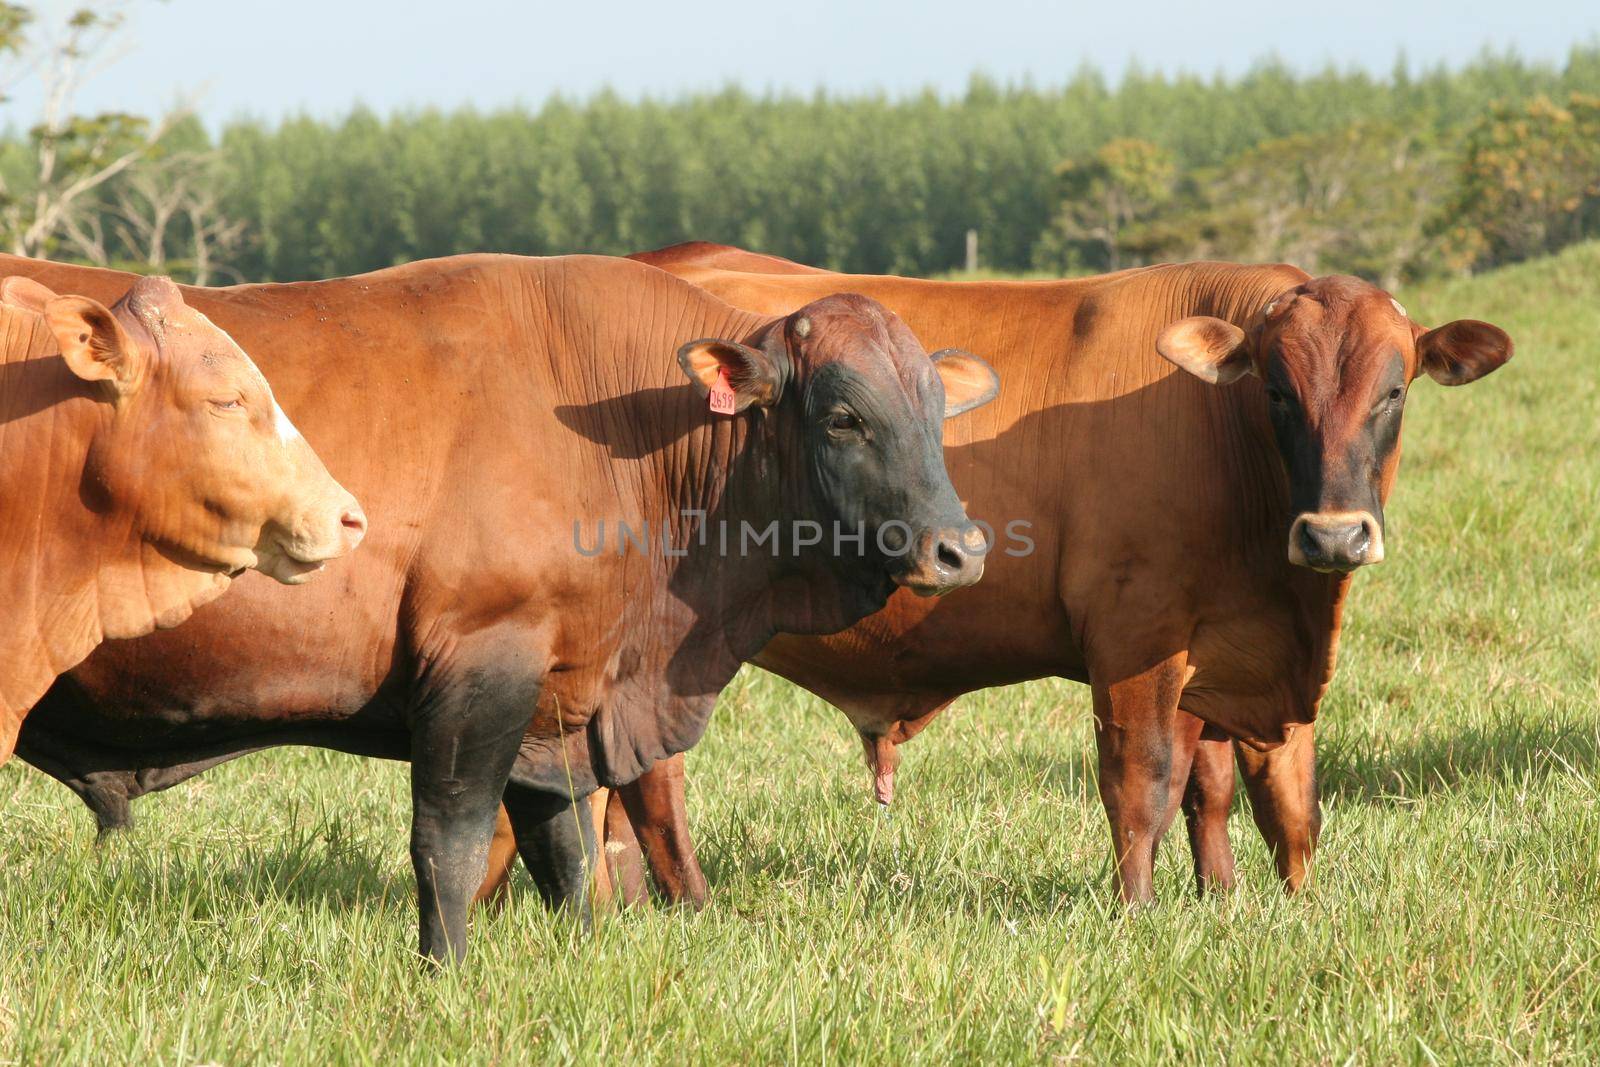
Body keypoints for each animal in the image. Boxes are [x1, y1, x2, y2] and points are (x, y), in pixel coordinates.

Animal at [476, 244, 1510, 908]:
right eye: (1279, 391)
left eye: (1394, 389)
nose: (1335, 534)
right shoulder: (1136, 641)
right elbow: (1144, 782)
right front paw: (1141, 912)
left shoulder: (1218, 654)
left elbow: (1237, 794)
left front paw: (1228, 903)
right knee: (648, 783)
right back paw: (673, 904)